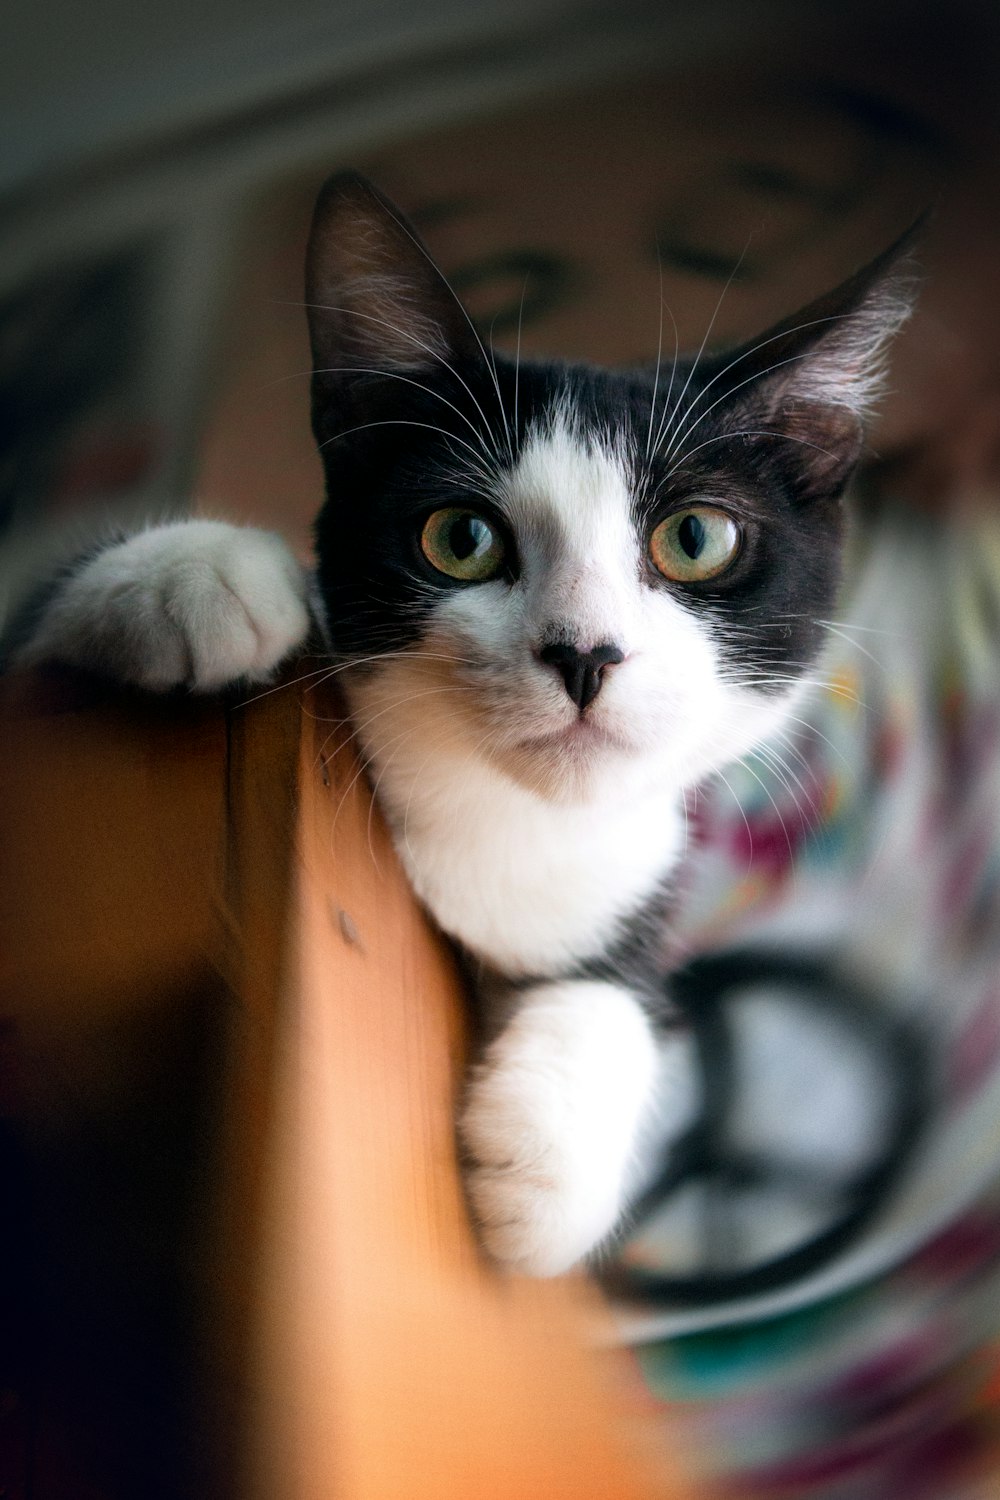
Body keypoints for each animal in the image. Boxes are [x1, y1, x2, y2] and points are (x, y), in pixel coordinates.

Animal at [13, 175, 917, 1278]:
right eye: (462, 537)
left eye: (696, 537)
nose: (585, 654)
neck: (501, 820)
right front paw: (192, 572)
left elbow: (624, 990)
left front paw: (548, 1170)